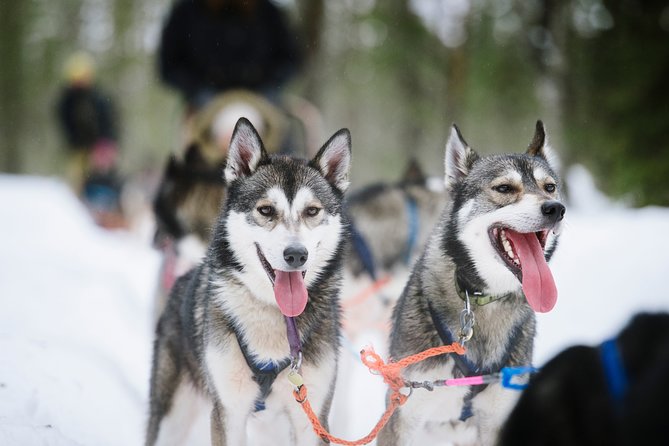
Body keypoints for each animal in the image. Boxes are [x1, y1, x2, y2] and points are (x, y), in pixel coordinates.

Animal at [146, 116, 352, 444]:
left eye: (312, 211)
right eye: (266, 210)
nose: (297, 254)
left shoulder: (312, 418)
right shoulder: (228, 412)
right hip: (170, 418)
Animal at [378, 122, 568, 446]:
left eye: (550, 187)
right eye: (504, 188)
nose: (555, 208)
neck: (481, 298)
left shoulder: (498, 420)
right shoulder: (403, 416)